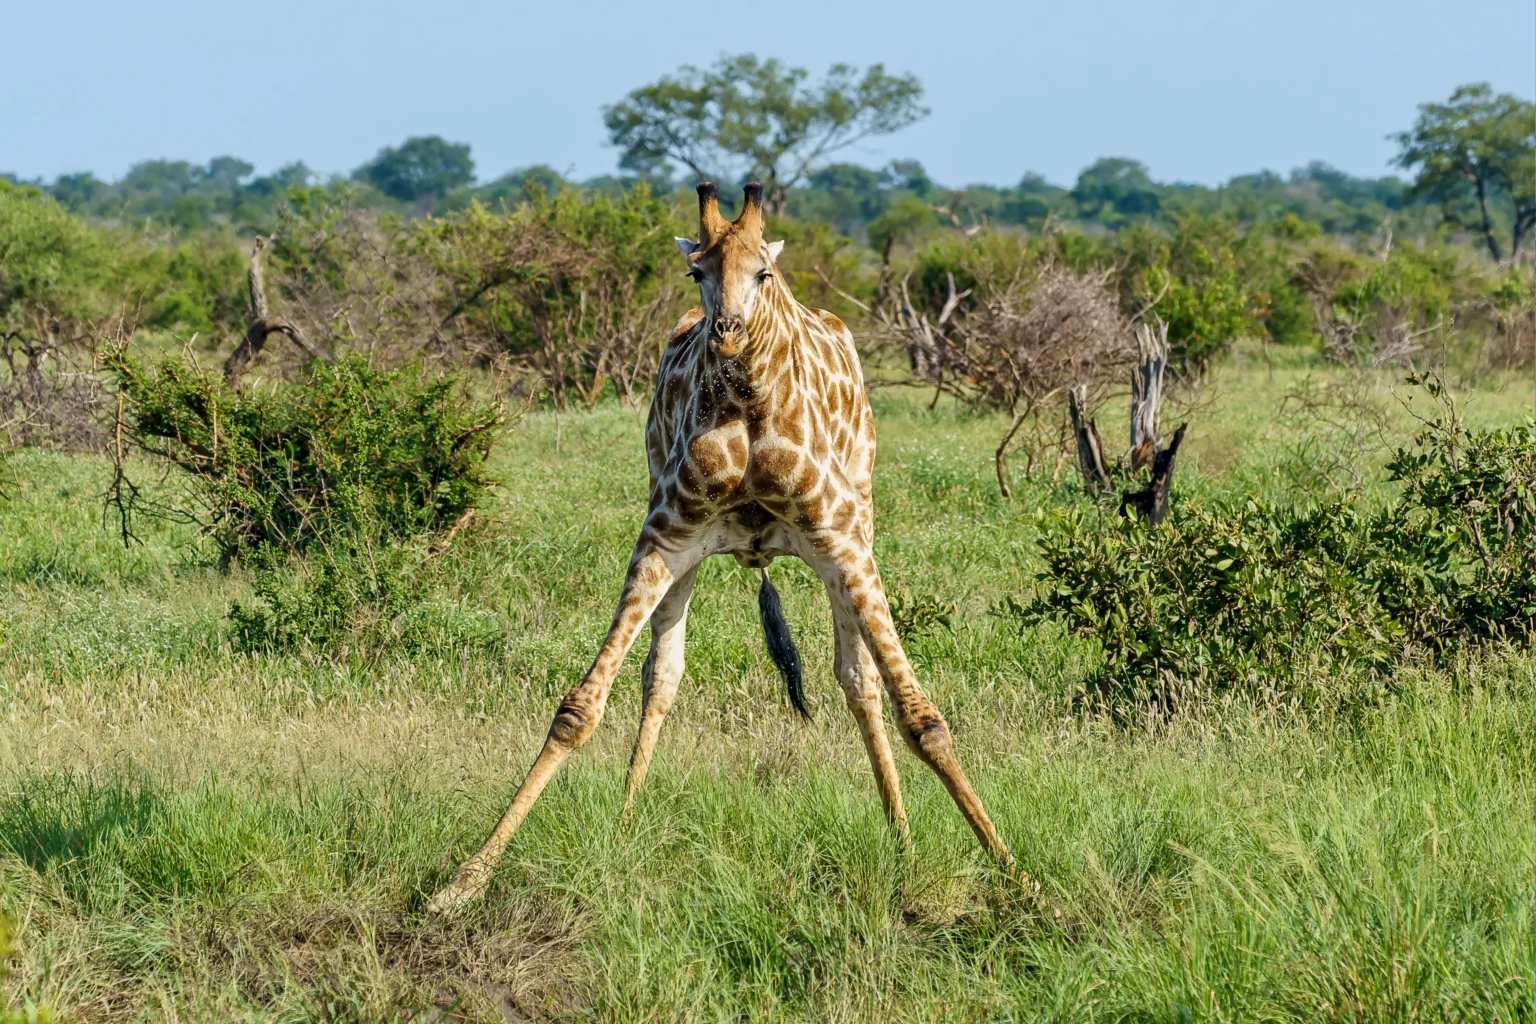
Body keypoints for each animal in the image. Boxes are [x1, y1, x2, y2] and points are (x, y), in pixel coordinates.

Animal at [427, 182, 1012, 915]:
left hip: (855, 527)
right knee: (662, 676)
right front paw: (464, 882)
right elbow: (581, 707)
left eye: (762, 272)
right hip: (686, 548)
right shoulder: (663, 535)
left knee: (860, 681)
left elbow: (921, 715)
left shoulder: (844, 540)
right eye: (695, 272)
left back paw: (902, 837)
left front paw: (1013, 870)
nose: (727, 333)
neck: (752, 407)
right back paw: (626, 822)